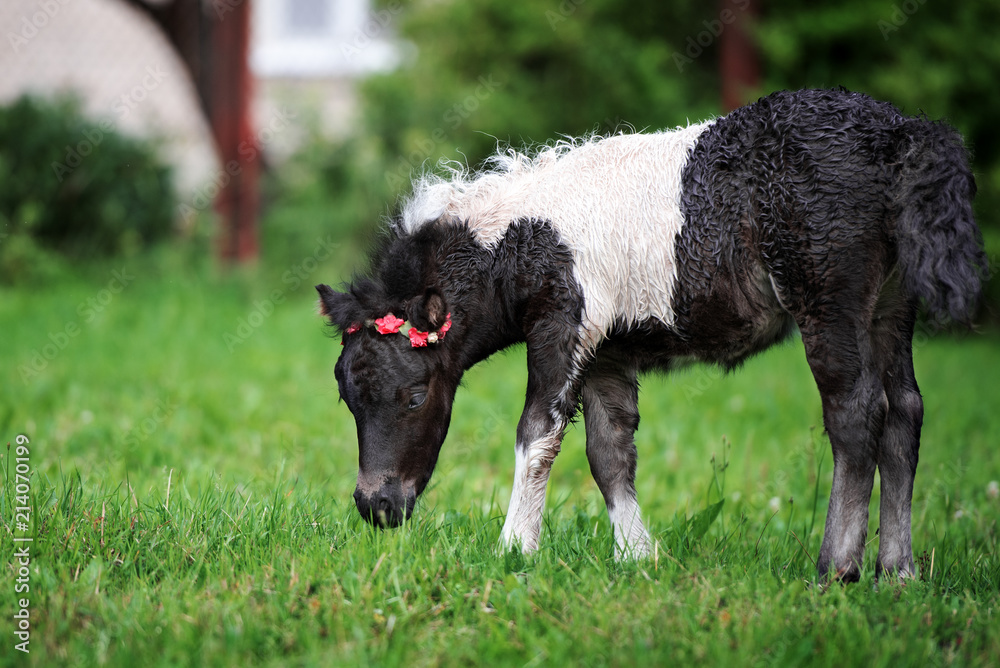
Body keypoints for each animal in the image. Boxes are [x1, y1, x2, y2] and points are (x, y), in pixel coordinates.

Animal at [316, 88, 985, 581]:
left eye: (415, 395)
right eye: (346, 399)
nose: (377, 507)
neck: (522, 237)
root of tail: (900, 134)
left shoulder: (563, 323)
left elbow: (538, 434)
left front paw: (514, 549)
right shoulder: (606, 348)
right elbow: (609, 452)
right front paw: (637, 557)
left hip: (829, 296)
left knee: (856, 410)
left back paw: (835, 570)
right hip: (891, 304)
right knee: (904, 410)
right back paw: (898, 572)